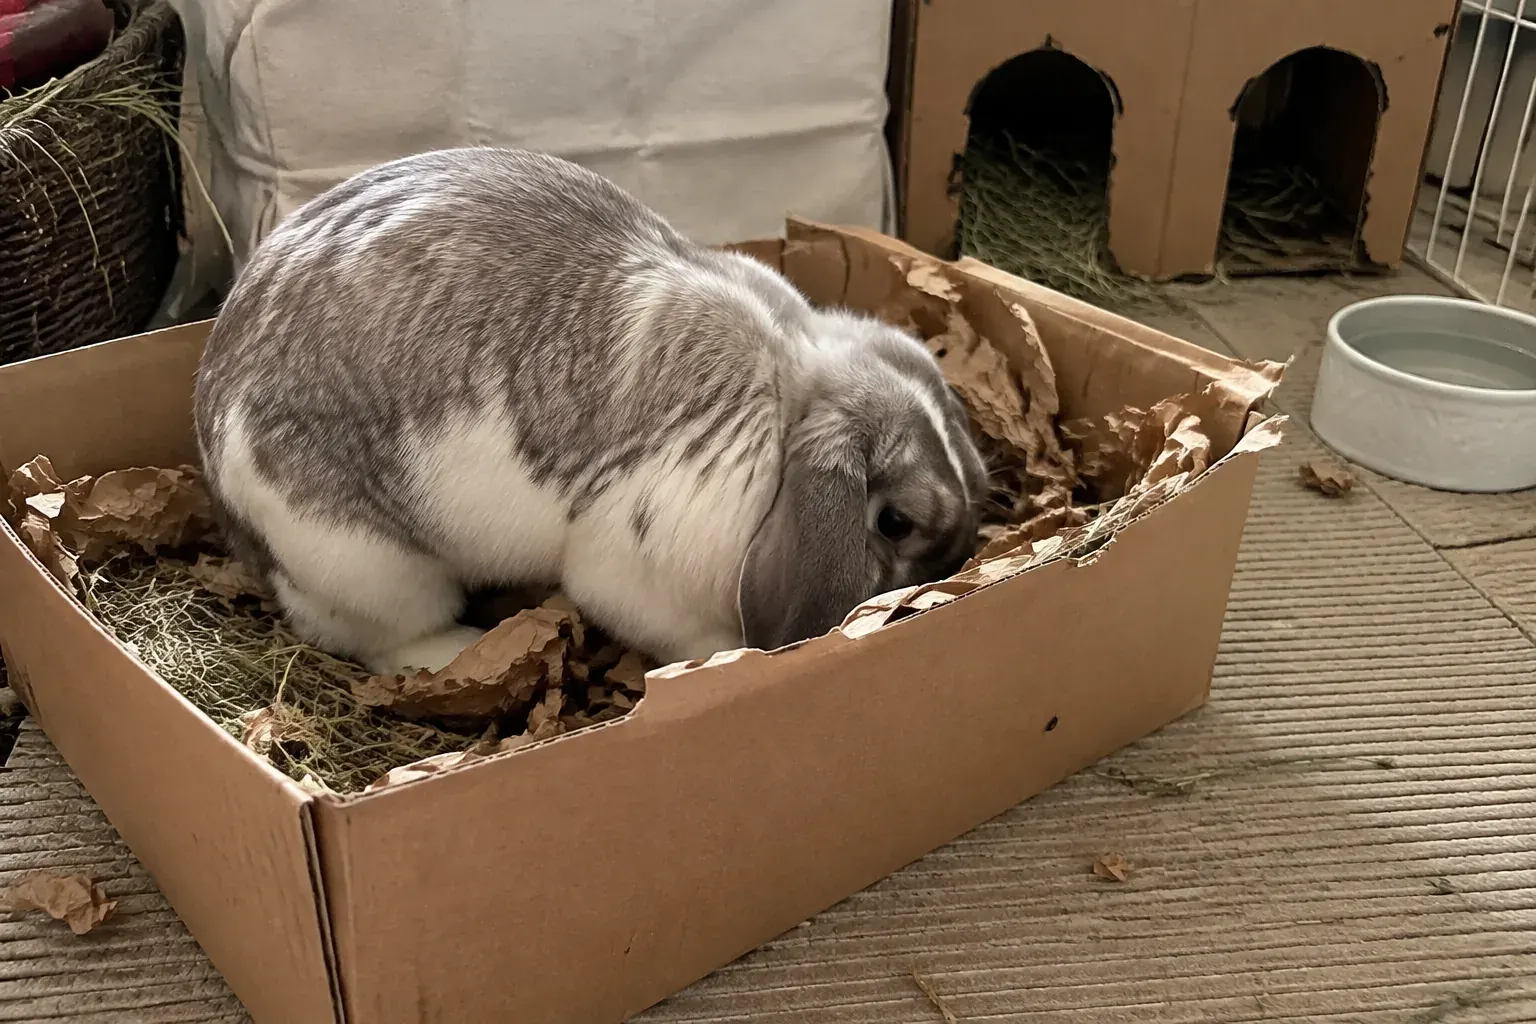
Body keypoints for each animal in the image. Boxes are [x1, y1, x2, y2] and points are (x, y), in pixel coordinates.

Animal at [193, 147, 987, 676]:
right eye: (896, 523)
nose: (949, 570)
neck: (794, 395)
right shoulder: (639, 565)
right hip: (366, 563)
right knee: (373, 634)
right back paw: (453, 651)